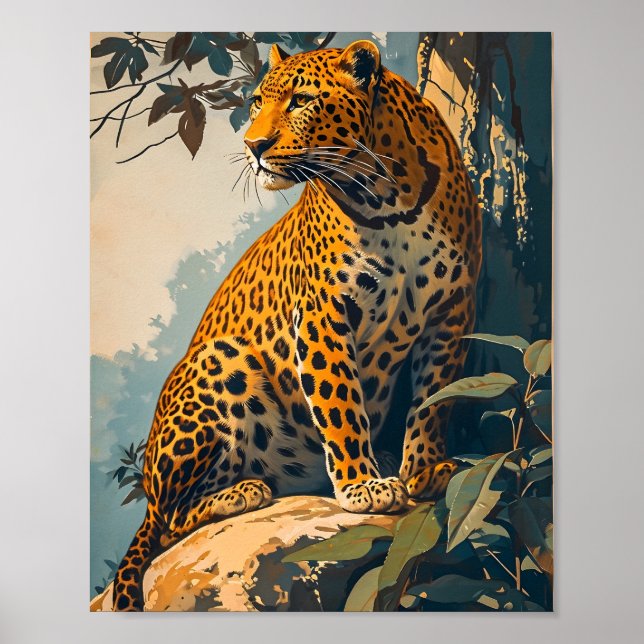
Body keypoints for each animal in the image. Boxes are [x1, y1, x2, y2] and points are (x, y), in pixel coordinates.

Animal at [112, 39, 482, 611]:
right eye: (258, 101)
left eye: (301, 101)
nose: (254, 144)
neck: (388, 193)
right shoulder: (323, 312)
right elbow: (340, 402)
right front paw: (363, 486)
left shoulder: (451, 311)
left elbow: (433, 402)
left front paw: (422, 471)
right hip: (220, 360)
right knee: (168, 523)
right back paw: (242, 492)